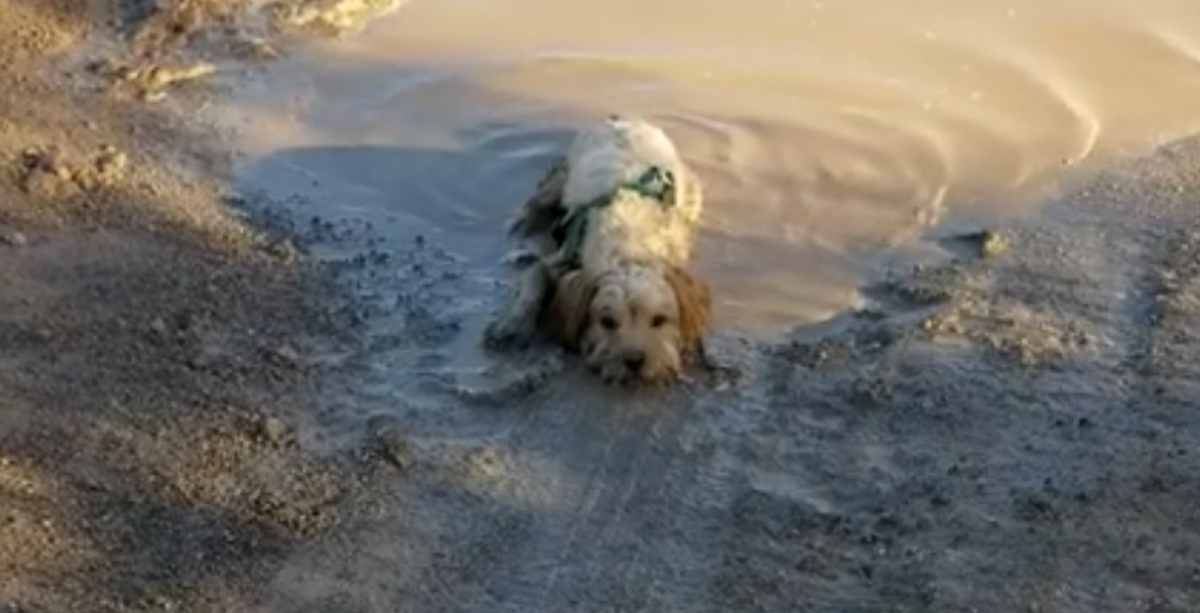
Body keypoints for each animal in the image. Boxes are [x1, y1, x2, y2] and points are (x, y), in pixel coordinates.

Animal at [484, 115, 715, 383]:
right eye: (607, 321)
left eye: (659, 320)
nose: (634, 360)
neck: (629, 247)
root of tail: (624, 118)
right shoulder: (561, 260)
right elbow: (534, 282)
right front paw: (514, 324)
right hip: (563, 176)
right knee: (540, 198)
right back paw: (523, 222)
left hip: (691, 188)